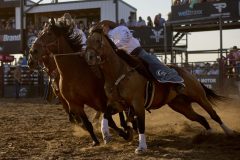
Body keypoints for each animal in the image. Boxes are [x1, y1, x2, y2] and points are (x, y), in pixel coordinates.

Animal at [29, 18, 133, 146]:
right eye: (39, 33)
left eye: (49, 33)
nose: (32, 52)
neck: (73, 74)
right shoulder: (75, 104)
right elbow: (86, 123)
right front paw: (95, 141)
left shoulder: (100, 101)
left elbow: (110, 121)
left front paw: (125, 134)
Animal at [86, 28, 234, 154]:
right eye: (87, 41)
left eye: (98, 41)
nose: (90, 58)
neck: (119, 72)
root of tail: (187, 72)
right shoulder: (119, 104)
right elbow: (106, 114)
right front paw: (105, 134)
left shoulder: (137, 104)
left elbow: (141, 125)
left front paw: (141, 147)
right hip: (181, 106)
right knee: (201, 118)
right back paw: (208, 134)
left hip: (199, 96)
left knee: (214, 114)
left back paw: (229, 132)